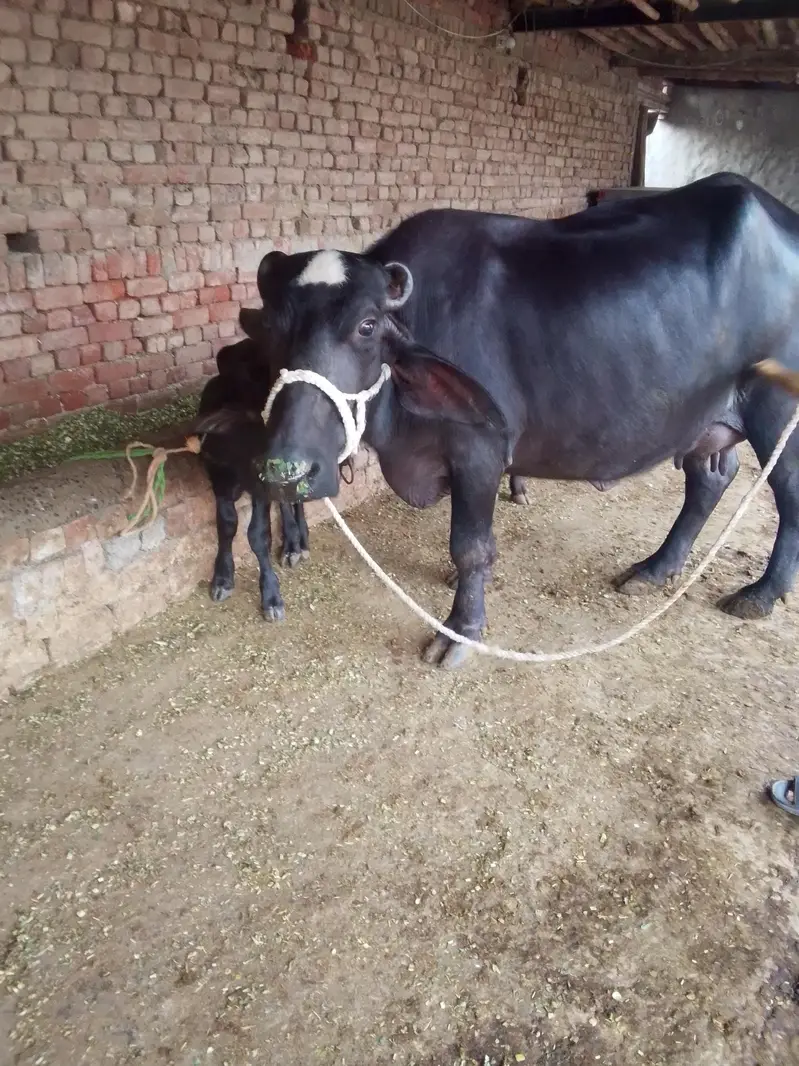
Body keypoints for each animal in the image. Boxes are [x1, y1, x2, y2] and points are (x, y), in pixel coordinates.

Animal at [195, 311, 310, 621]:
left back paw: (299, 541)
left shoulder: (261, 488)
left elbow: (258, 535)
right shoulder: (217, 479)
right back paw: (292, 542)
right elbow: (226, 525)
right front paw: (222, 578)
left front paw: (271, 596)